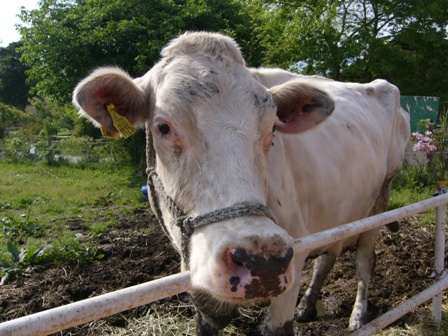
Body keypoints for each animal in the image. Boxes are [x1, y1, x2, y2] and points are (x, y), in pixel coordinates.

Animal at [72, 32, 410, 336]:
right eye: (163, 127)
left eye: (273, 128)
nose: (261, 263)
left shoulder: (294, 254)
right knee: (328, 256)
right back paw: (308, 307)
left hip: (380, 198)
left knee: (364, 261)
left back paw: (357, 316)